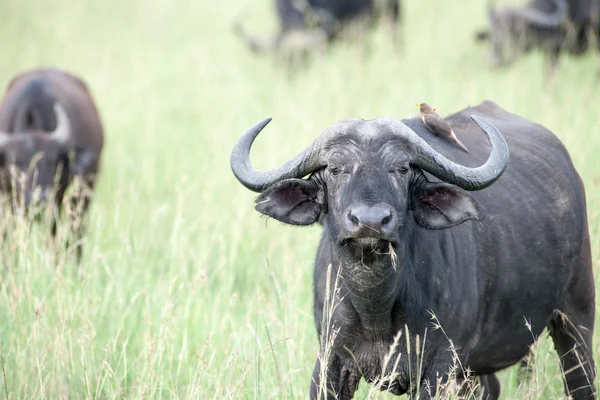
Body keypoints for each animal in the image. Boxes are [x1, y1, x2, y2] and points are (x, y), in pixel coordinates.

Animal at [0, 68, 104, 262]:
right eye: (14, 162)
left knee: (75, 236)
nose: (38, 199)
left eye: (53, 161)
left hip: (81, 198)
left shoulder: (56, 203)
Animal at [231, 99, 596, 396]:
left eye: (402, 168)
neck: (375, 308)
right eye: (335, 169)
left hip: (576, 319)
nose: (370, 221)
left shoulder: (437, 370)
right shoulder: (329, 365)